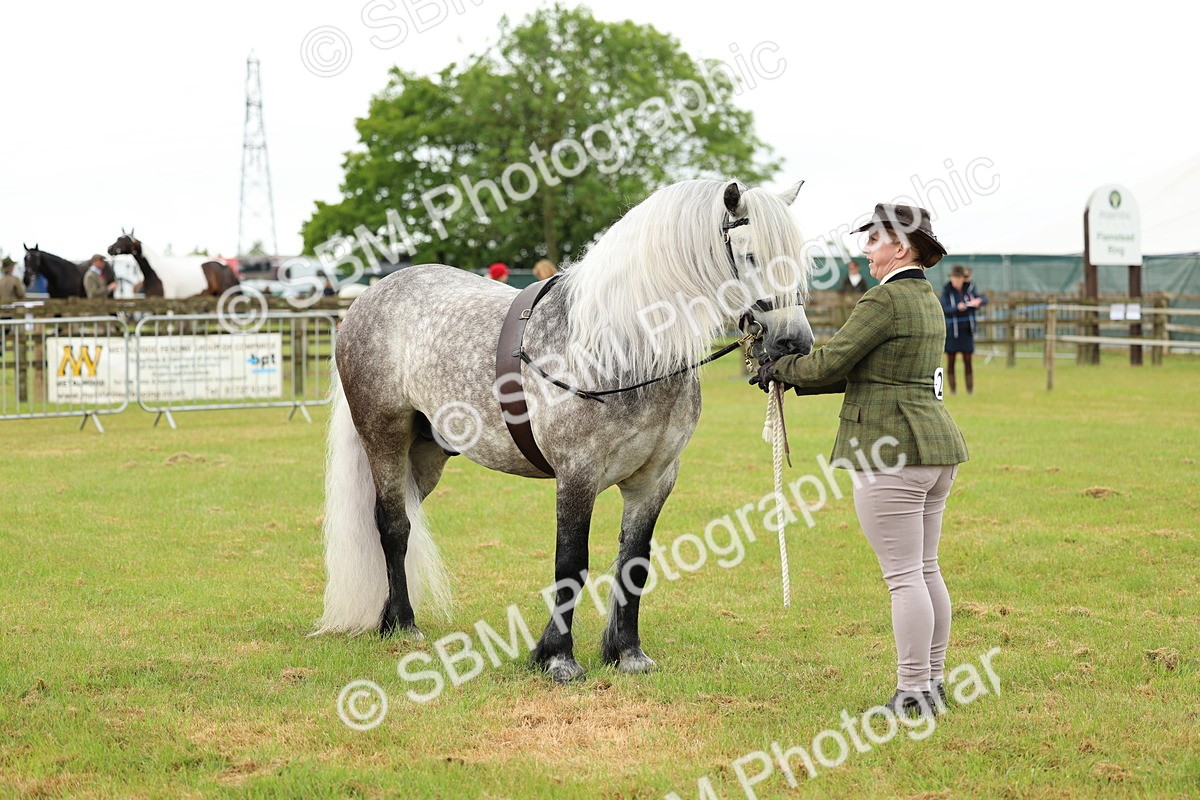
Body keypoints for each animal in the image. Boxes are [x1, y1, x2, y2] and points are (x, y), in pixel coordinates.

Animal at [316, 179, 814, 683]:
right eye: (750, 255)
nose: (794, 341)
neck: (622, 346)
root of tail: (370, 297)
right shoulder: (577, 476)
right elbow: (571, 564)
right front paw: (558, 658)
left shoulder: (655, 480)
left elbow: (635, 562)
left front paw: (627, 653)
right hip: (384, 438)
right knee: (393, 525)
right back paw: (402, 624)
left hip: (428, 453)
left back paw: (387, 617)